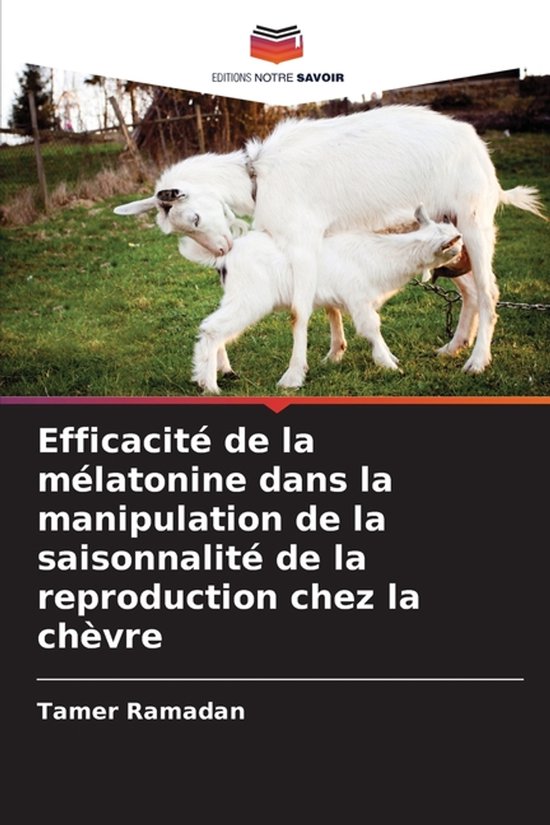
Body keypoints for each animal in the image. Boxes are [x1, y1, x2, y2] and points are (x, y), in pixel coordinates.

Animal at [191, 205, 464, 393]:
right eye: (456, 243)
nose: (464, 257)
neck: (379, 257)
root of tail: (226, 255)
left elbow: (339, 319)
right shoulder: (359, 299)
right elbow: (372, 328)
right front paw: (389, 364)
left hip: (235, 296)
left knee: (219, 329)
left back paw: (225, 371)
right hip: (249, 297)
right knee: (212, 328)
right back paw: (209, 385)